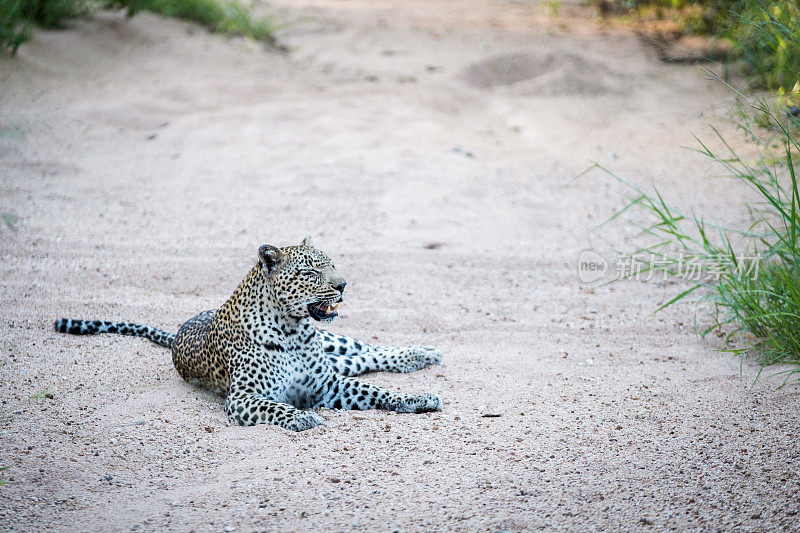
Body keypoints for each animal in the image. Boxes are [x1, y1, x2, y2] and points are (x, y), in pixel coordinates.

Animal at [54, 235, 444, 430]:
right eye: (310, 272)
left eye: (332, 263)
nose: (343, 285)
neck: (292, 330)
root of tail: (177, 331)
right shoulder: (244, 397)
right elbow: (277, 407)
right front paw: (301, 416)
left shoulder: (328, 384)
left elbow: (378, 390)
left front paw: (417, 398)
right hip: (338, 358)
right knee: (362, 360)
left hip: (336, 342)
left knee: (370, 352)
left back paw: (420, 353)